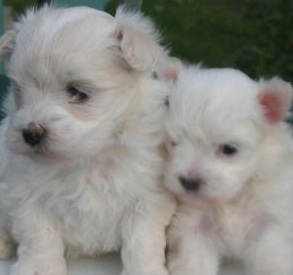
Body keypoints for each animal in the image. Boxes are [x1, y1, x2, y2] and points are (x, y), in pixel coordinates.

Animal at [0, 4, 175, 275]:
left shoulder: (146, 199)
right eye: (19, 91)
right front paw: (40, 267)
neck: (89, 157)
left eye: (78, 92)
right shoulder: (27, 196)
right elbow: (39, 236)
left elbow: (142, 243)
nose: (30, 133)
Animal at [162, 66, 292, 275]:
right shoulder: (194, 226)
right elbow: (195, 261)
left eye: (229, 149)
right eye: (174, 142)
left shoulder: (271, 222)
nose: (189, 182)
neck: (233, 198)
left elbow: (270, 258)